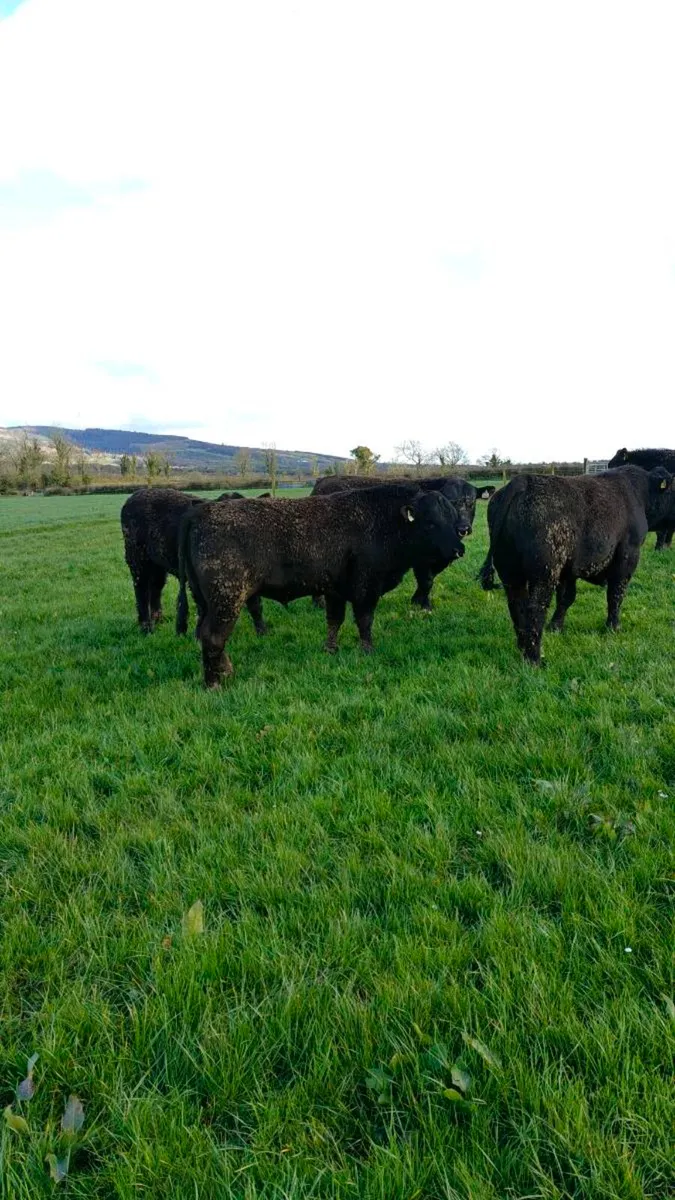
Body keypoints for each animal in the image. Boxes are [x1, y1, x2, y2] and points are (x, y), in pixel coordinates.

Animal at [120, 488, 266, 635]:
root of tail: (136, 495)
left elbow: (255, 605)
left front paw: (262, 632)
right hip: (136, 557)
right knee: (141, 590)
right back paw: (147, 628)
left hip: (157, 565)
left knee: (155, 587)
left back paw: (158, 621)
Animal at [176, 485, 466, 687]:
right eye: (431, 522)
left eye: (453, 518)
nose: (459, 549)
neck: (384, 519)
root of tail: (200, 513)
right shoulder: (366, 588)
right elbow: (364, 620)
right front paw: (368, 650)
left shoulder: (335, 591)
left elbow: (334, 620)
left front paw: (331, 650)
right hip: (227, 601)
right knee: (213, 637)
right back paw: (214, 683)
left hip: (206, 602)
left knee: (206, 634)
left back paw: (225, 671)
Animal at [310, 474, 477, 609]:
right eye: (453, 501)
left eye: (472, 503)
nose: (463, 528)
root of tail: (323, 481)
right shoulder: (420, 560)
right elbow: (426, 581)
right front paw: (423, 605)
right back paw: (320, 604)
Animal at [478, 466, 675, 665]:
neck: (639, 492)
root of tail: (523, 480)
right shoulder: (628, 554)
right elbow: (616, 593)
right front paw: (613, 627)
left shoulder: (568, 570)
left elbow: (566, 597)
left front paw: (556, 627)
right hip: (544, 572)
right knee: (536, 608)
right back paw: (534, 659)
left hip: (509, 571)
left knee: (517, 605)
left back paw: (522, 647)